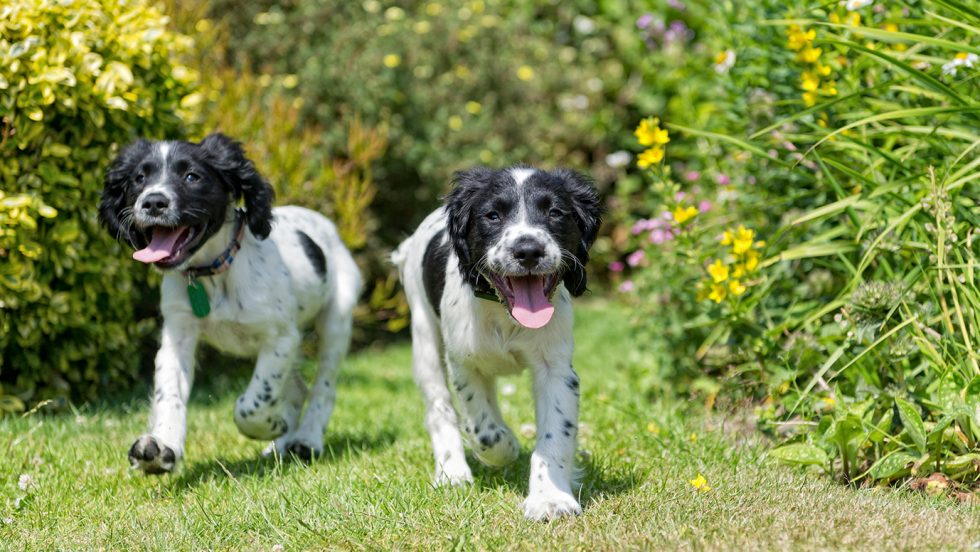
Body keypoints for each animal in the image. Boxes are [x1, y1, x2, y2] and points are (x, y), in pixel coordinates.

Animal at [100, 134, 364, 474]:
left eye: (192, 177)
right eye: (139, 178)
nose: (153, 202)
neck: (212, 272)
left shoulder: (280, 337)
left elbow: (252, 402)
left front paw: (270, 425)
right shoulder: (178, 335)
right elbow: (169, 394)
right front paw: (163, 446)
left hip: (336, 319)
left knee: (322, 387)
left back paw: (305, 439)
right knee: (295, 388)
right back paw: (281, 444)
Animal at [394, 166, 600, 520]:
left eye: (555, 212)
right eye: (492, 216)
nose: (528, 250)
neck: (505, 314)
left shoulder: (556, 368)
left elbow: (556, 432)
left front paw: (550, 499)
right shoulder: (464, 363)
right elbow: (485, 430)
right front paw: (506, 448)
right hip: (423, 337)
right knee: (440, 408)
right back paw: (452, 473)